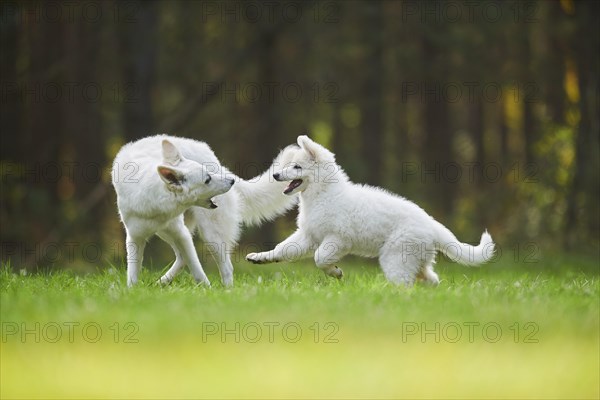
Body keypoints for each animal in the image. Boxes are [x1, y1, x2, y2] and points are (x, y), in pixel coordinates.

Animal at [112, 135, 298, 288]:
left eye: (208, 174)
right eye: (207, 179)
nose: (231, 181)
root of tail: (217, 162)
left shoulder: (181, 234)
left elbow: (197, 270)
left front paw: (207, 291)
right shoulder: (135, 238)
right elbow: (133, 273)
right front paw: (132, 292)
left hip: (211, 235)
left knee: (225, 267)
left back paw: (227, 292)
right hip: (168, 233)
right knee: (181, 258)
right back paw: (162, 282)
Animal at [246, 136, 494, 286]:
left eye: (297, 167)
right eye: (290, 165)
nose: (276, 175)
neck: (323, 194)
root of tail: (432, 224)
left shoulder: (337, 238)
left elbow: (319, 258)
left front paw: (335, 272)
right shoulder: (308, 236)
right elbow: (283, 249)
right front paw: (261, 257)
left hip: (396, 258)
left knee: (406, 284)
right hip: (416, 258)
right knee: (430, 279)